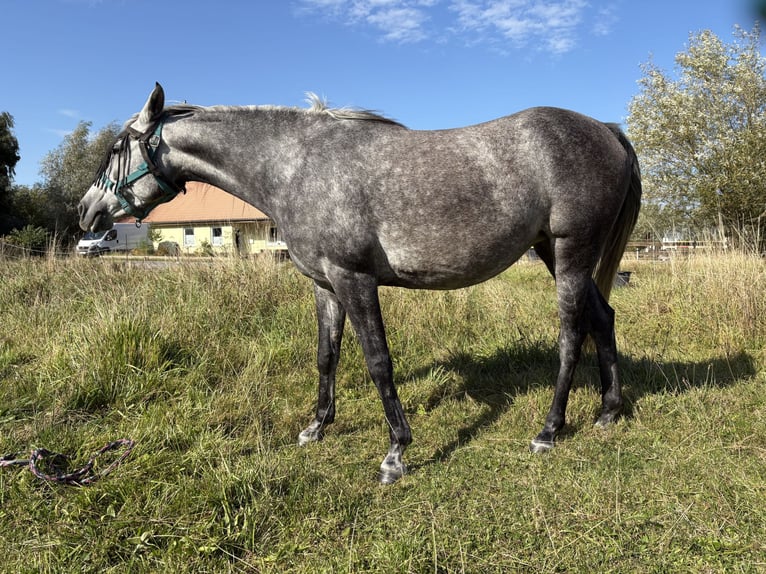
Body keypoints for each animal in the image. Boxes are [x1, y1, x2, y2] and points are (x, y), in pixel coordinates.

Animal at [78, 83, 641, 484]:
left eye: (115, 147)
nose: (88, 212)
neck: (296, 167)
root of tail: (606, 130)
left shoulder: (355, 280)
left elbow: (377, 362)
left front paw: (395, 453)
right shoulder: (325, 285)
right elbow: (327, 355)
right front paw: (317, 427)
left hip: (570, 253)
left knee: (571, 334)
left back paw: (549, 430)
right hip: (555, 252)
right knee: (603, 318)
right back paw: (609, 411)